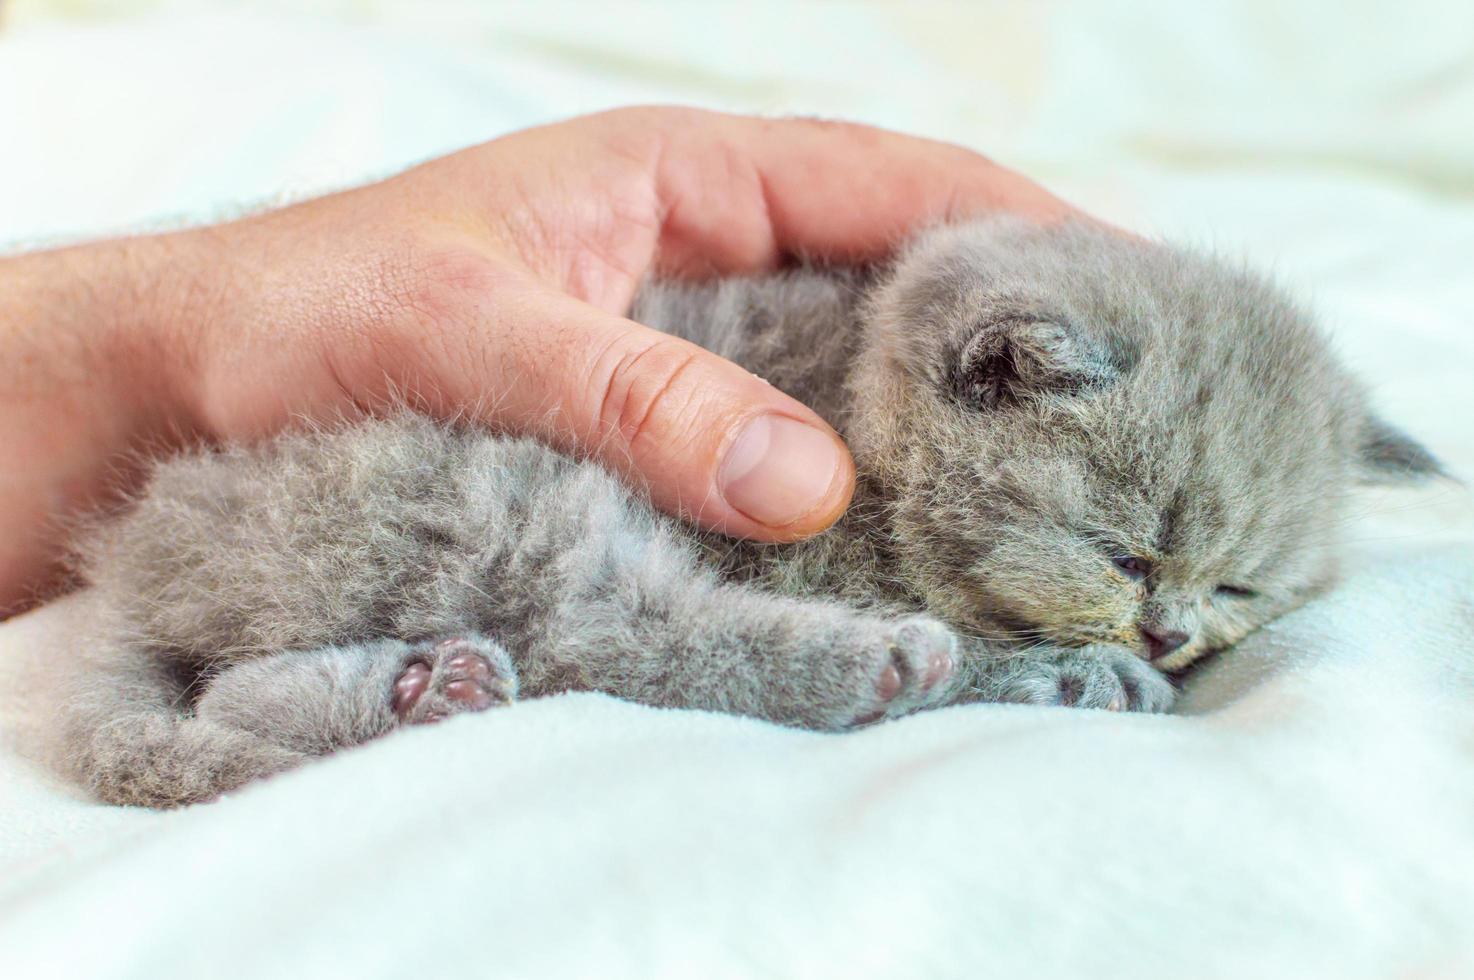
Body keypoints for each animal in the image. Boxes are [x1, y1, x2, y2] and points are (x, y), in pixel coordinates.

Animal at [60, 218, 1438, 807]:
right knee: (605, 634)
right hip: (500, 483)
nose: (1170, 631)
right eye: (1124, 554)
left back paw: (425, 687)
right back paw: (874, 666)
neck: (861, 425)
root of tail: (131, 555)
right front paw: (1071, 670)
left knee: (236, 697)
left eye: (1241, 588)